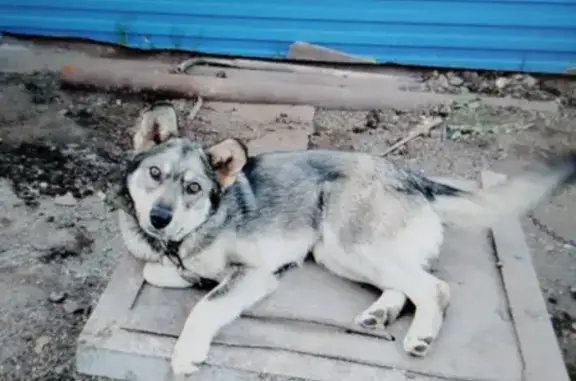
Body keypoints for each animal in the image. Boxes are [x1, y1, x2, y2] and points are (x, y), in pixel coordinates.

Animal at [117, 101, 576, 374]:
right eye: (155, 174)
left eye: (193, 188)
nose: (159, 217)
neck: (186, 234)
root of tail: (411, 176)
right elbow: (157, 271)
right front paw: (188, 276)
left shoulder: (255, 272)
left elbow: (205, 307)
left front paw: (186, 350)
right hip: (335, 253)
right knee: (406, 284)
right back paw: (381, 313)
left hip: (350, 241)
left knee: (434, 287)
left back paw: (420, 335)